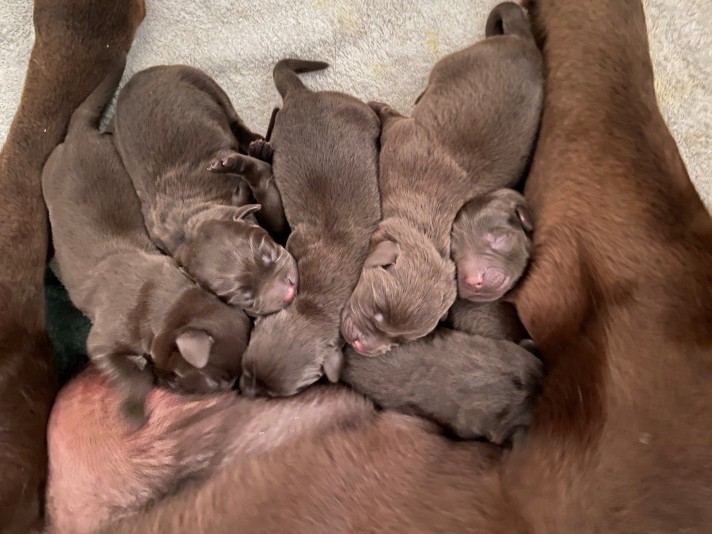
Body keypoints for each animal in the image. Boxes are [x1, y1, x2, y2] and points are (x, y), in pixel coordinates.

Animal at [41, 65, 252, 430]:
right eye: (218, 382)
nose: (164, 382)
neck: (163, 302)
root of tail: (78, 132)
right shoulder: (101, 342)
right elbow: (130, 375)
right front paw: (135, 412)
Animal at [112, 65, 296, 316]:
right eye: (244, 298)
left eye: (268, 253)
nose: (288, 293)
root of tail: (134, 77)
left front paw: (234, 164)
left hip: (202, 82)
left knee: (233, 118)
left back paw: (258, 146)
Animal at [238, 60, 384, 400]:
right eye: (246, 369)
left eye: (273, 395)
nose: (243, 393)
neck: (314, 299)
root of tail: (301, 94)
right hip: (349, 110)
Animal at [342, 4, 544, 358]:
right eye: (377, 311)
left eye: (400, 340)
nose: (361, 346)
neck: (422, 221)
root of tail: (525, 42)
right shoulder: (398, 138)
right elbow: (390, 119)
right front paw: (378, 106)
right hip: (457, 61)